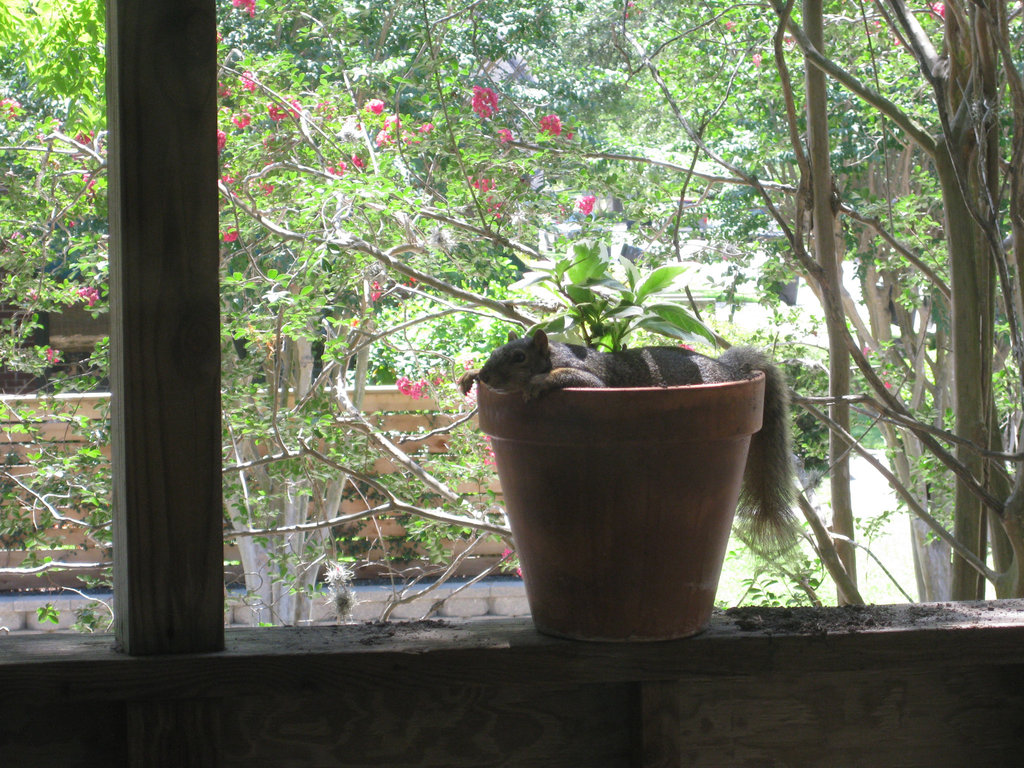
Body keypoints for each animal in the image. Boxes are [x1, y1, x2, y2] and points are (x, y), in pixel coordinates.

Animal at [458, 329, 798, 552]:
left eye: (519, 357)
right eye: (495, 351)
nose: (486, 376)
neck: (555, 355)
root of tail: (731, 370)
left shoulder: (591, 380)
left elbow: (569, 378)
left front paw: (538, 382)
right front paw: (469, 376)